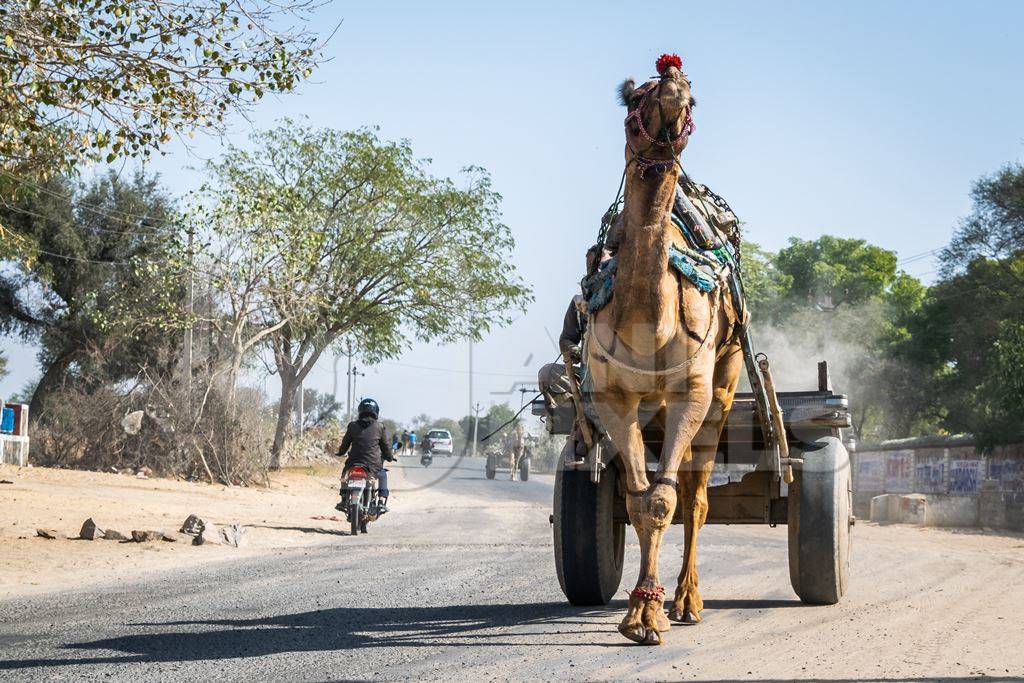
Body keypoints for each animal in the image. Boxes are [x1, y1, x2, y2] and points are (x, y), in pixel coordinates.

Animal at [585, 54, 745, 647]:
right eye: (635, 97)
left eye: (691, 98)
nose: (675, 84)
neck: (646, 327)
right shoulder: (612, 396)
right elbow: (637, 501)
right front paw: (637, 614)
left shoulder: (691, 392)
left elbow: (665, 499)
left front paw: (652, 615)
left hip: (725, 382)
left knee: (697, 497)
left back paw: (687, 600)